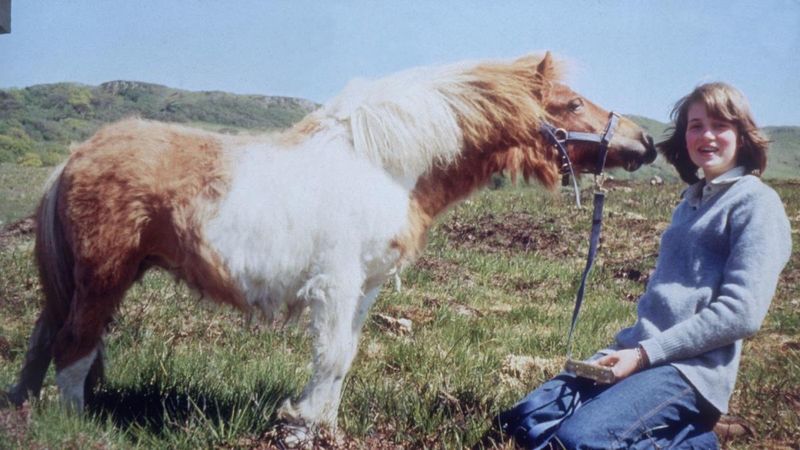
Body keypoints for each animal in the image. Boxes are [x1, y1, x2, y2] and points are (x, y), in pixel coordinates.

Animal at [3, 51, 656, 436]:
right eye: (572, 104)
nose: (645, 142)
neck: (383, 166)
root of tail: (76, 156)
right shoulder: (336, 284)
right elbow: (333, 356)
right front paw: (303, 425)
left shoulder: (363, 288)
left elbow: (344, 355)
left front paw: (321, 423)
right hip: (103, 279)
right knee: (73, 349)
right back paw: (73, 425)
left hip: (76, 285)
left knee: (42, 343)